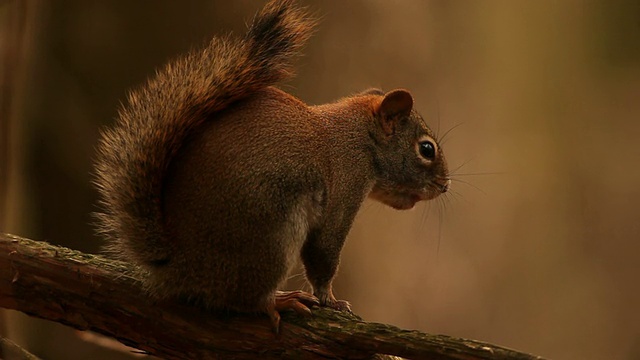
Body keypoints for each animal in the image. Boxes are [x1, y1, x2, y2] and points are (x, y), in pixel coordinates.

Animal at [92, 0, 450, 332]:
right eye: (426, 149)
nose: (445, 185)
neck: (360, 136)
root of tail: (177, 267)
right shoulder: (347, 184)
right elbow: (323, 254)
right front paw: (332, 301)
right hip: (271, 232)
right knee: (244, 299)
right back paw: (279, 300)